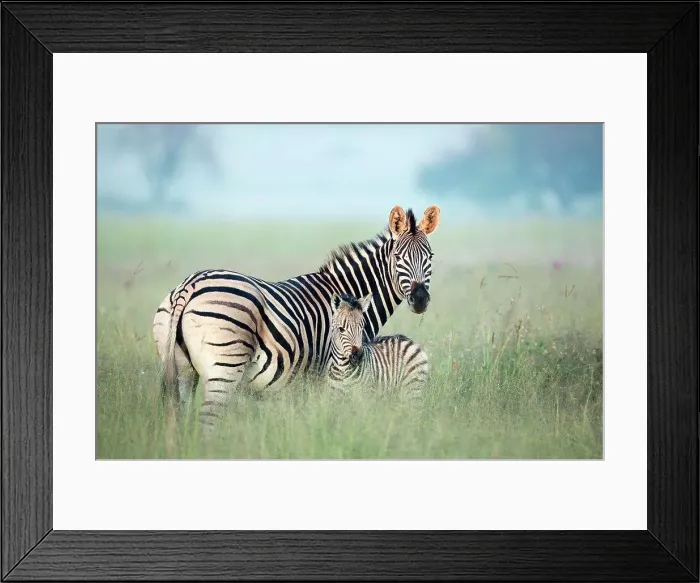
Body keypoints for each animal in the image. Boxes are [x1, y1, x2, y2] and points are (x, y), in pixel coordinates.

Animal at [152, 204, 440, 432]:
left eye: (430, 257)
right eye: (398, 258)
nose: (420, 299)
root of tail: (189, 285)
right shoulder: (330, 375)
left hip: (182, 368)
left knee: (180, 417)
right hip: (225, 367)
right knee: (208, 420)